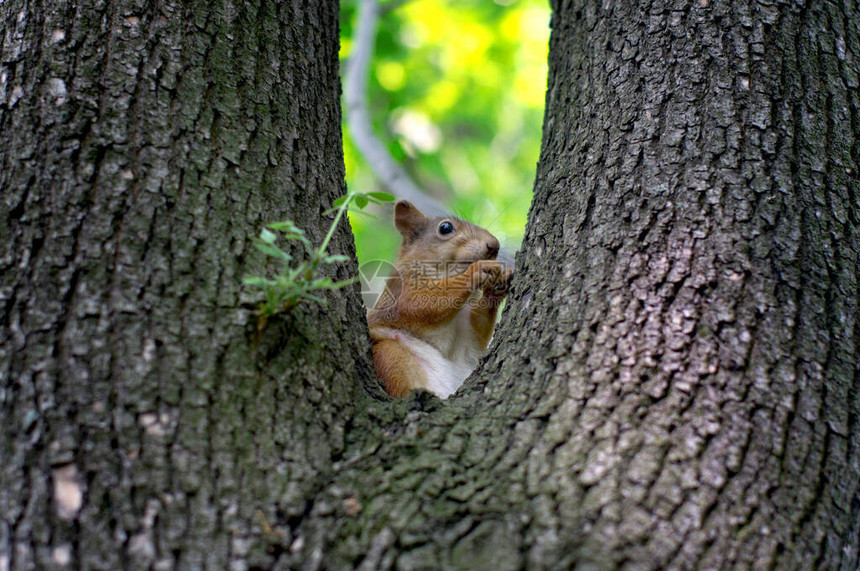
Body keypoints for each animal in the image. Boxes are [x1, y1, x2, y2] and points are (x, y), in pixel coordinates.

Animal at [364, 203, 510, 400]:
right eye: (445, 227)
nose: (494, 245)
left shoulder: (466, 334)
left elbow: (476, 331)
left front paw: (496, 287)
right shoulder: (403, 290)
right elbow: (425, 303)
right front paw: (478, 269)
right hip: (390, 356)